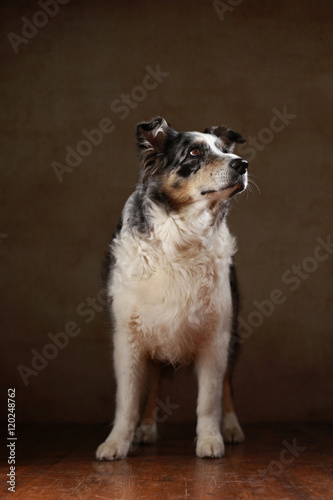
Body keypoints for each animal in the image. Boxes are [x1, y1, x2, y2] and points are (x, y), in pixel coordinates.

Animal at [96, 117, 246, 460]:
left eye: (224, 149)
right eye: (194, 152)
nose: (242, 163)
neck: (180, 236)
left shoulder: (216, 334)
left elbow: (210, 398)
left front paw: (210, 440)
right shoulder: (127, 336)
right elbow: (127, 399)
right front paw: (117, 442)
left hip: (233, 332)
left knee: (228, 386)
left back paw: (231, 427)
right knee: (155, 382)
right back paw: (147, 428)